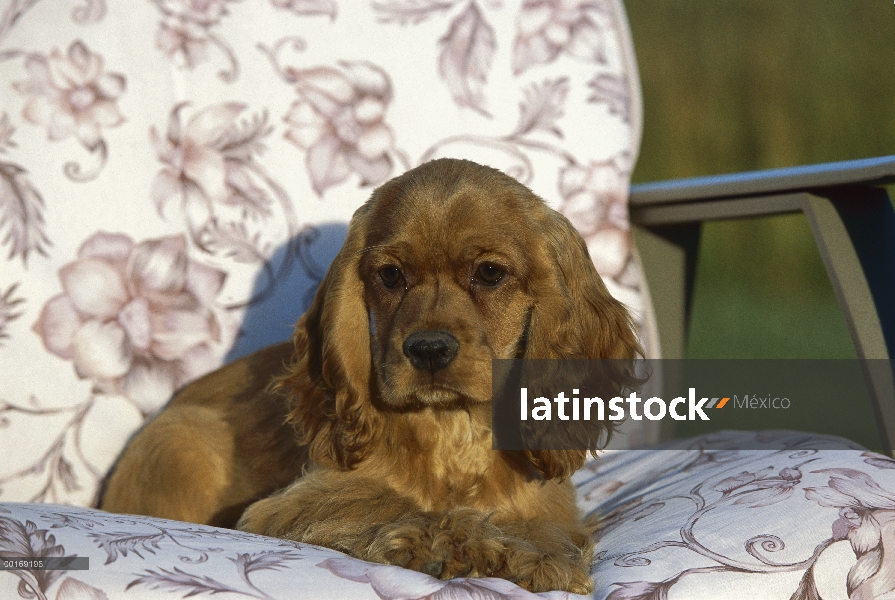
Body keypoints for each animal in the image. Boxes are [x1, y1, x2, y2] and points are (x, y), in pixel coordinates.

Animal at [100, 157, 644, 592]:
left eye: (490, 273)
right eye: (391, 275)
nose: (428, 350)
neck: (453, 431)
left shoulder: (552, 505)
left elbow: (546, 529)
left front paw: (531, 552)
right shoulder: (286, 505)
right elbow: (381, 500)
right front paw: (457, 542)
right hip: (174, 443)